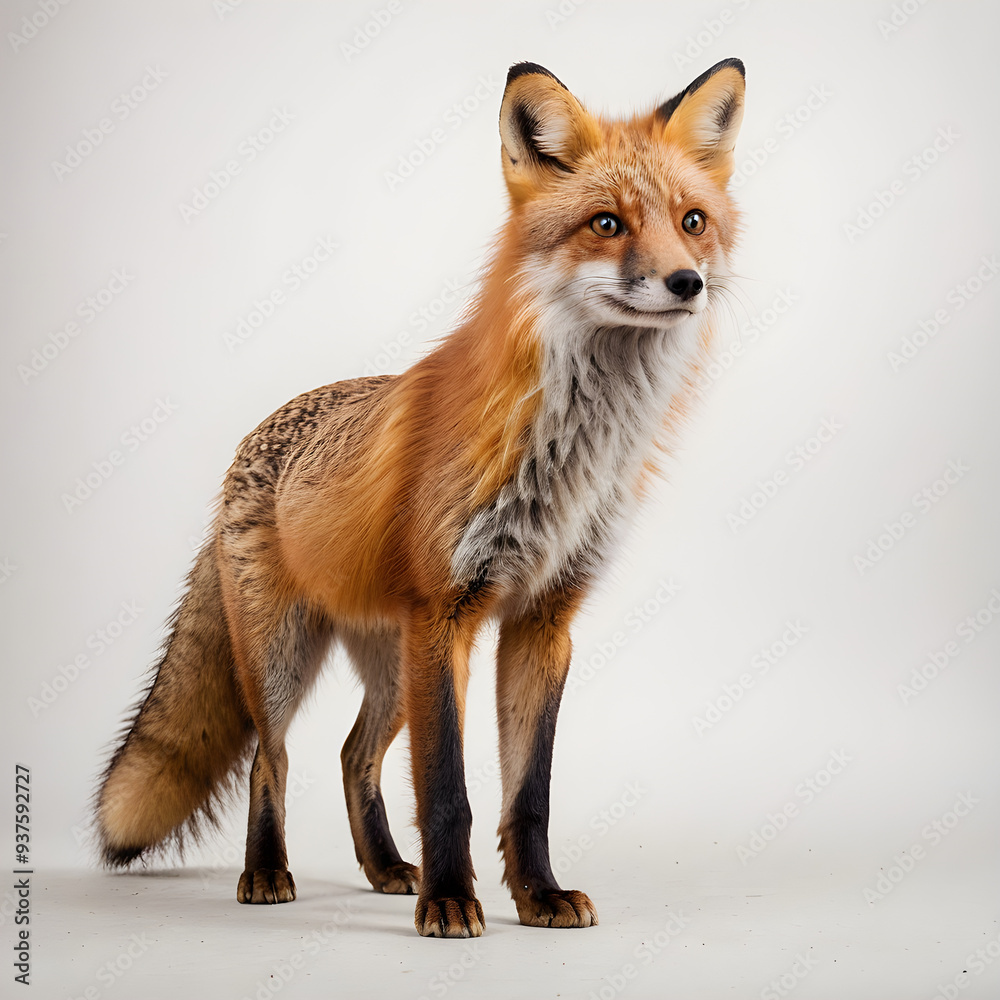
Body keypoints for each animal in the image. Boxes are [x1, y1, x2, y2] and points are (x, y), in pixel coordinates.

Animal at [95, 58, 746, 938]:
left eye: (692, 221)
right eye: (607, 224)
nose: (687, 282)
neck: (571, 452)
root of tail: (251, 439)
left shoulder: (542, 622)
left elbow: (527, 796)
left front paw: (537, 895)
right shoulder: (446, 614)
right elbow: (448, 793)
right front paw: (449, 901)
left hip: (391, 662)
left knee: (352, 754)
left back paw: (381, 868)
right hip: (285, 658)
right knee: (274, 757)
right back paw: (268, 872)